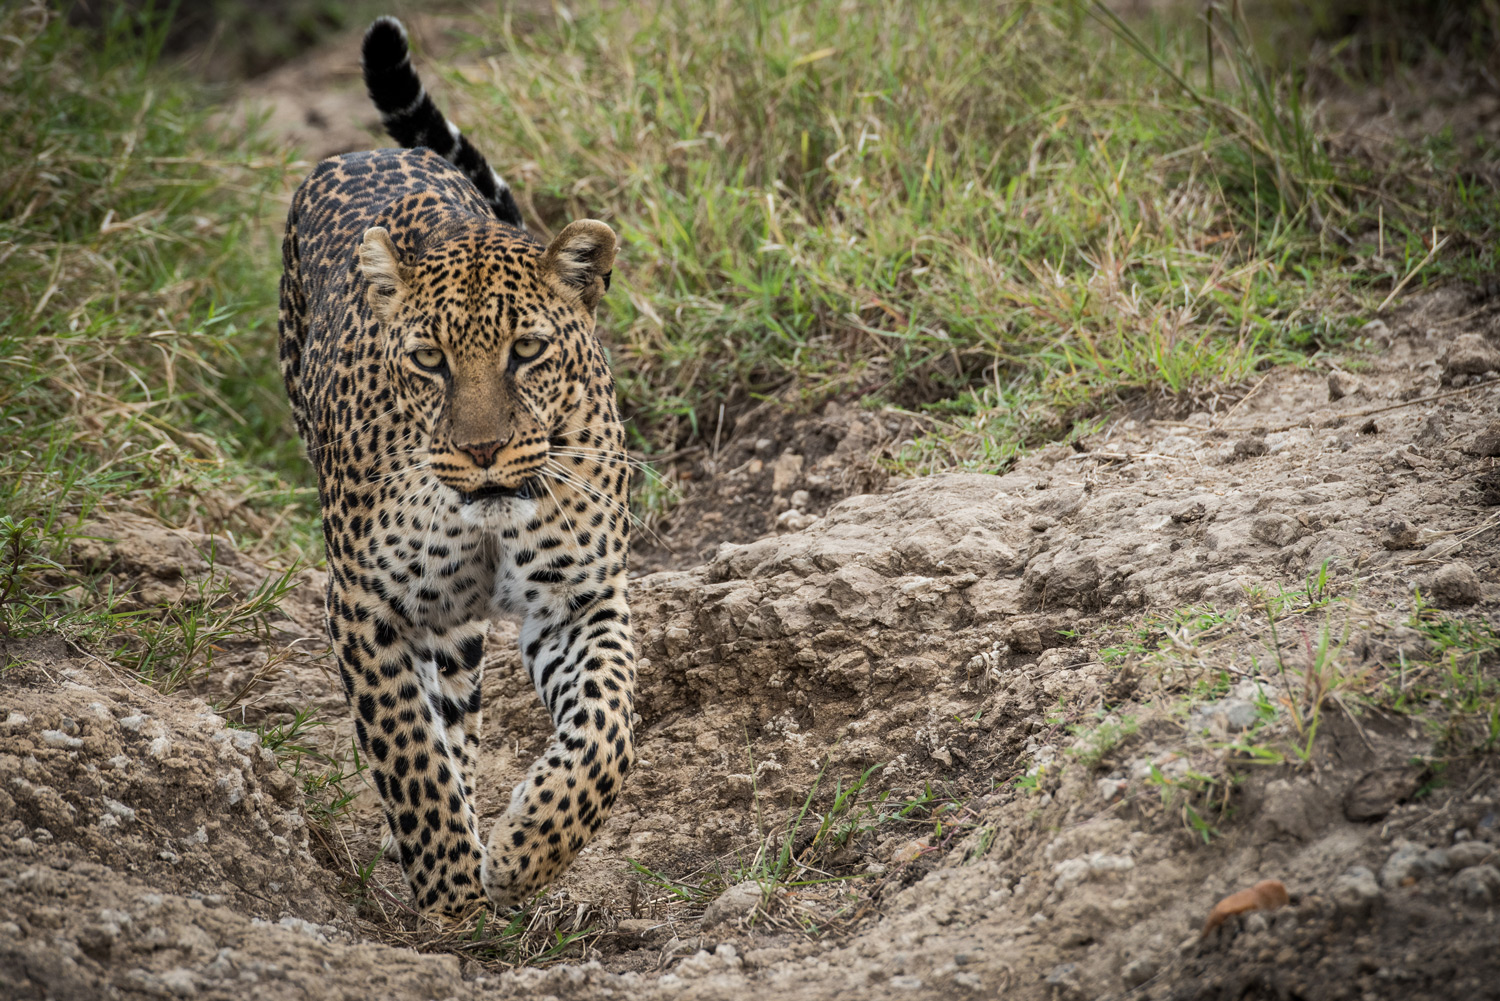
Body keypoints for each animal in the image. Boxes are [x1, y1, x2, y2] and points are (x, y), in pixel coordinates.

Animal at [279, 13, 636, 918]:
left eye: (528, 351)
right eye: (430, 360)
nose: (482, 453)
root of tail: (356, 153)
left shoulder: (581, 595)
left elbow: (607, 728)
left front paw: (526, 849)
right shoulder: (365, 602)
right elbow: (407, 749)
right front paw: (448, 890)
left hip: (459, 631)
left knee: (462, 711)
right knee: (437, 723)